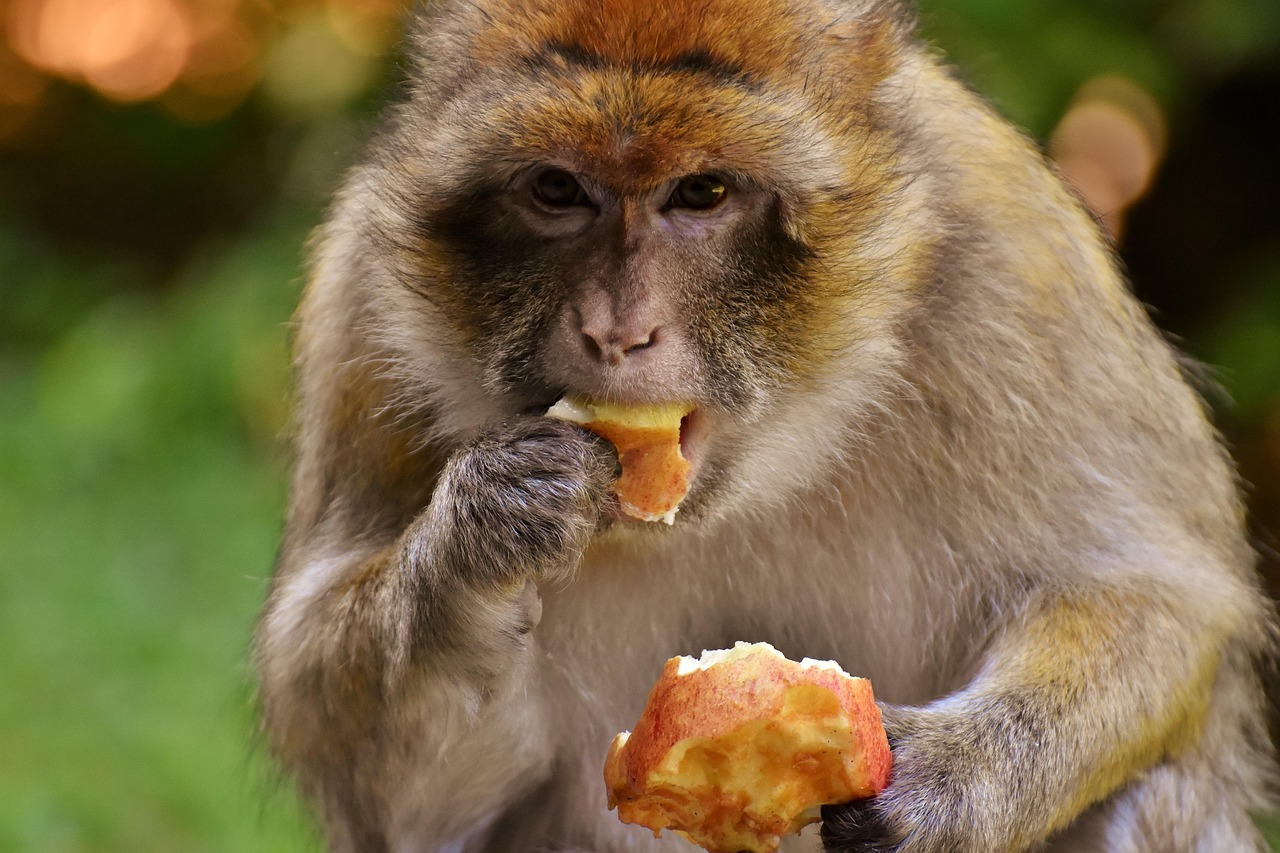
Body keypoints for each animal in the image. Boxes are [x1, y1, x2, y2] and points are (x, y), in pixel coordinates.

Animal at [252, 0, 1277, 850]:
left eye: (702, 193)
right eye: (557, 189)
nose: (615, 330)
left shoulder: (1017, 252)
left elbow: (1154, 594)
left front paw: (948, 780)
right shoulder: (361, 304)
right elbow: (394, 791)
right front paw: (482, 532)